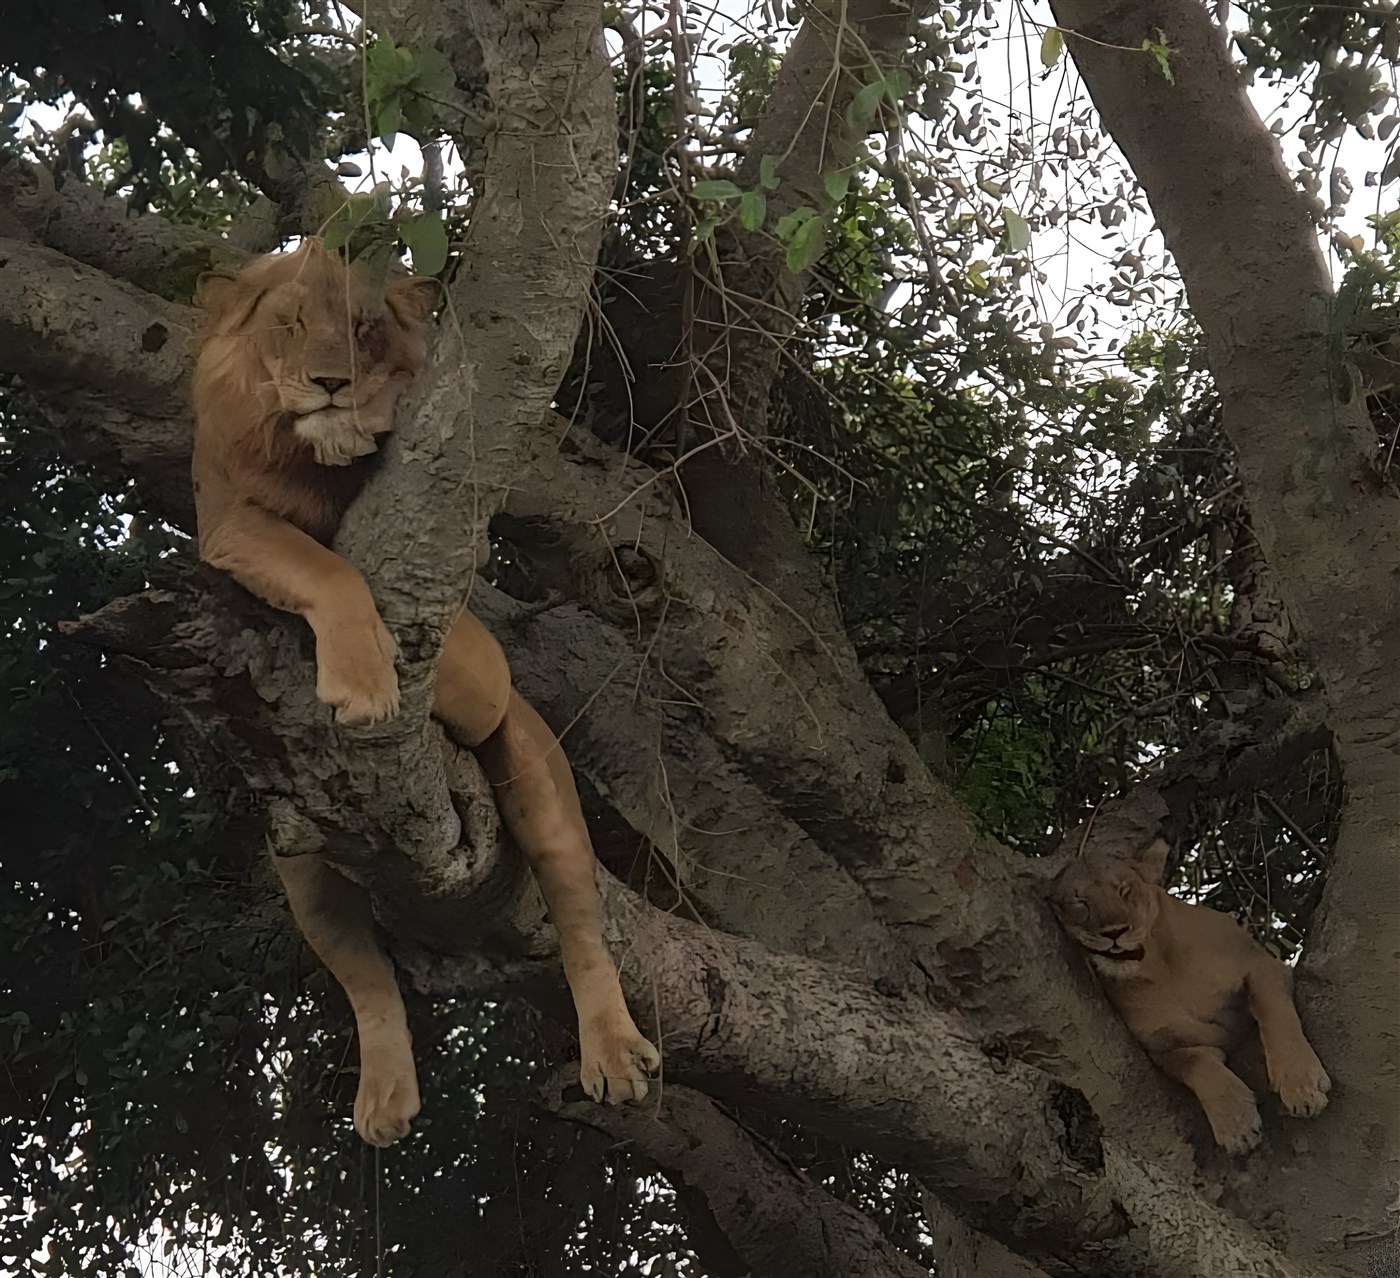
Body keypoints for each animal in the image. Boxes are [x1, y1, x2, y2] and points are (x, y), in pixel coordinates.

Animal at [192, 240, 660, 1146]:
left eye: (364, 328)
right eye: (290, 324)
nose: (330, 382)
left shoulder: (481, 656)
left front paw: (365, 411)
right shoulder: (228, 522)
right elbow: (319, 563)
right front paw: (365, 686)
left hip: (536, 771)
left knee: (579, 919)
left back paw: (614, 1054)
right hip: (299, 858)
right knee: (366, 977)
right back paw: (384, 1098)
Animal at [1048, 837, 1330, 1154]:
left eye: (1124, 890)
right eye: (1078, 902)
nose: (1114, 932)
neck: (1160, 968)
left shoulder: (1260, 965)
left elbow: (1275, 1014)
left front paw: (1302, 1086)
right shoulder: (1161, 1046)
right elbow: (1195, 1063)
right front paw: (1237, 1125)